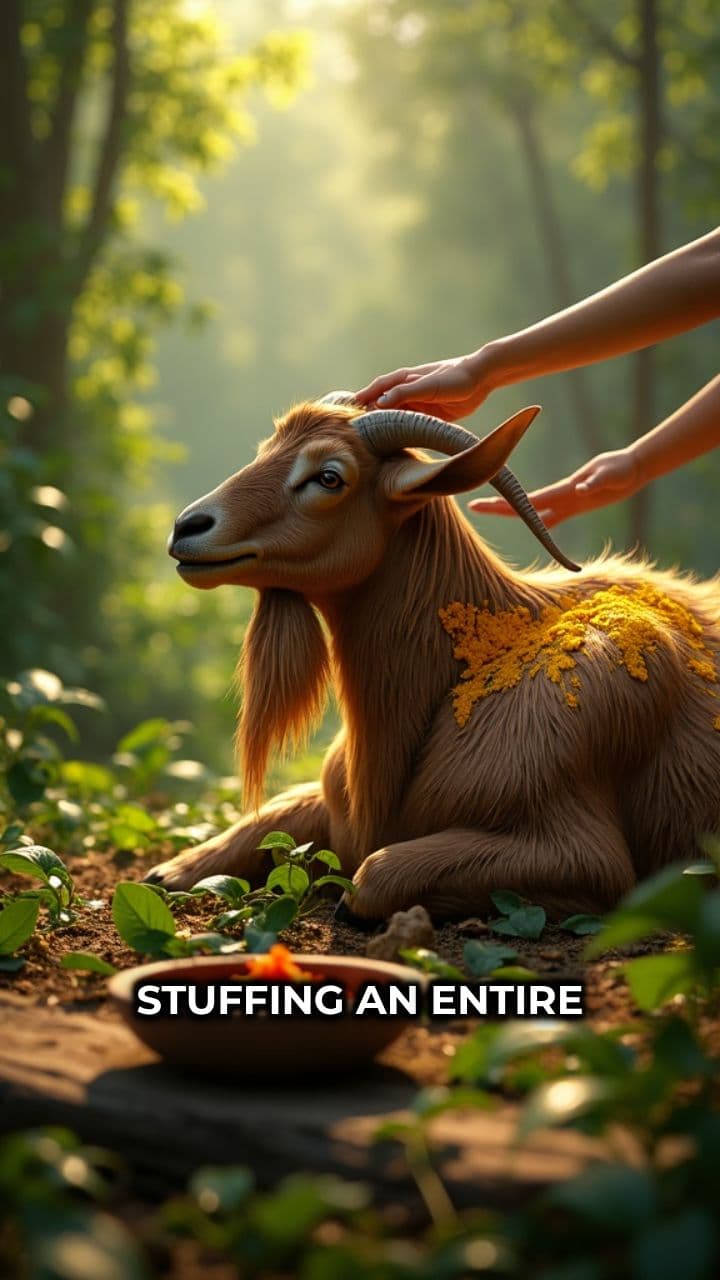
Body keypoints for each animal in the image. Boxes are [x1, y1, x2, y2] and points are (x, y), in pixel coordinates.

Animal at [145, 396, 720, 920]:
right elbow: (268, 821)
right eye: (266, 450)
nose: (188, 527)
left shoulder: (578, 848)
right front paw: (171, 871)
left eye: (329, 477)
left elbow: (372, 877)